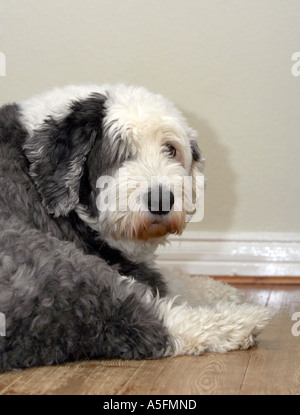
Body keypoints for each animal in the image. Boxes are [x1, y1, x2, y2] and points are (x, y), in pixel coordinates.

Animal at [0, 83, 272, 370]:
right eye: (119, 153)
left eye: (170, 149)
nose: (161, 200)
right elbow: (165, 283)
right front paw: (220, 294)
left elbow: (172, 277)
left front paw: (220, 289)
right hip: (53, 266)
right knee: (139, 318)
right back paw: (243, 321)